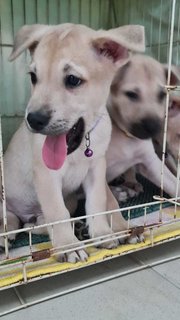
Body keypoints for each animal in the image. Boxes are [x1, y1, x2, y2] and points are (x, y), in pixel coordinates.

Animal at [0, 23, 144, 262]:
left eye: (73, 80)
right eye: (33, 77)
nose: (34, 120)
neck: (81, 147)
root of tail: (24, 214)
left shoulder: (96, 169)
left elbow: (98, 202)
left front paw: (102, 233)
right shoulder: (47, 176)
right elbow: (58, 213)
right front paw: (68, 246)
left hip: (66, 202)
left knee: (34, 223)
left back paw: (74, 226)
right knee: (13, 221)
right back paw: (7, 237)